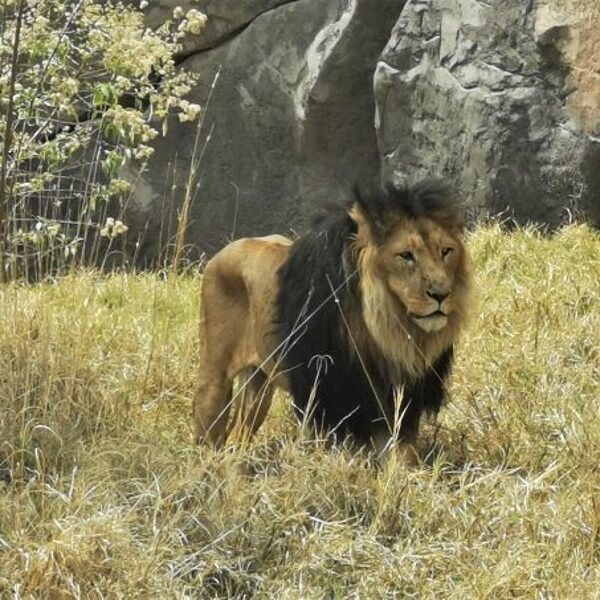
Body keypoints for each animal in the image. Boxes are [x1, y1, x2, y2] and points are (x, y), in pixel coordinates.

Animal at [195, 178, 472, 464]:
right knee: (208, 434)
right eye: (406, 255)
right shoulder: (325, 396)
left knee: (238, 435)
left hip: (259, 386)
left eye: (446, 252)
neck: (387, 328)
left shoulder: (399, 401)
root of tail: (225, 250)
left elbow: (401, 456)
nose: (441, 294)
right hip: (214, 378)